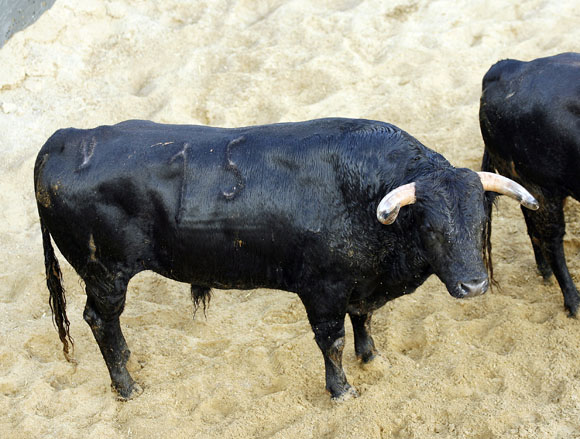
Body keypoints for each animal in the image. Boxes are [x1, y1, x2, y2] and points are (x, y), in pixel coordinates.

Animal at [34, 118, 536, 400]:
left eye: (482, 222)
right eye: (431, 228)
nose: (474, 286)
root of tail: (61, 139)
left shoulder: (359, 281)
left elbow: (363, 318)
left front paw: (372, 359)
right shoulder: (323, 291)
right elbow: (332, 341)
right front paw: (342, 390)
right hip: (105, 273)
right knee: (100, 320)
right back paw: (126, 386)